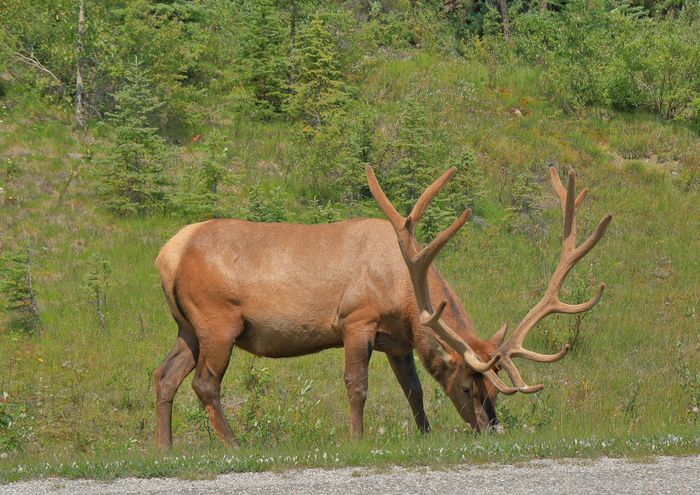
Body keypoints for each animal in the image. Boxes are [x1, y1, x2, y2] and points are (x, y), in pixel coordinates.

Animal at [152, 166, 608, 450]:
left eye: (495, 389)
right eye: (467, 387)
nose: (490, 430)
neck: (404, 293)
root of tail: (167, 253)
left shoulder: (397, 341)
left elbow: (414, 390)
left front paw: (425, 435)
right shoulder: (357, 320)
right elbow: (357, 385)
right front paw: (357, 439)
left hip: (187, 327)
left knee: (165, 375)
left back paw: (164, 447)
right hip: (218, 321)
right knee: (205, 384)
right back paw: (234, 444)